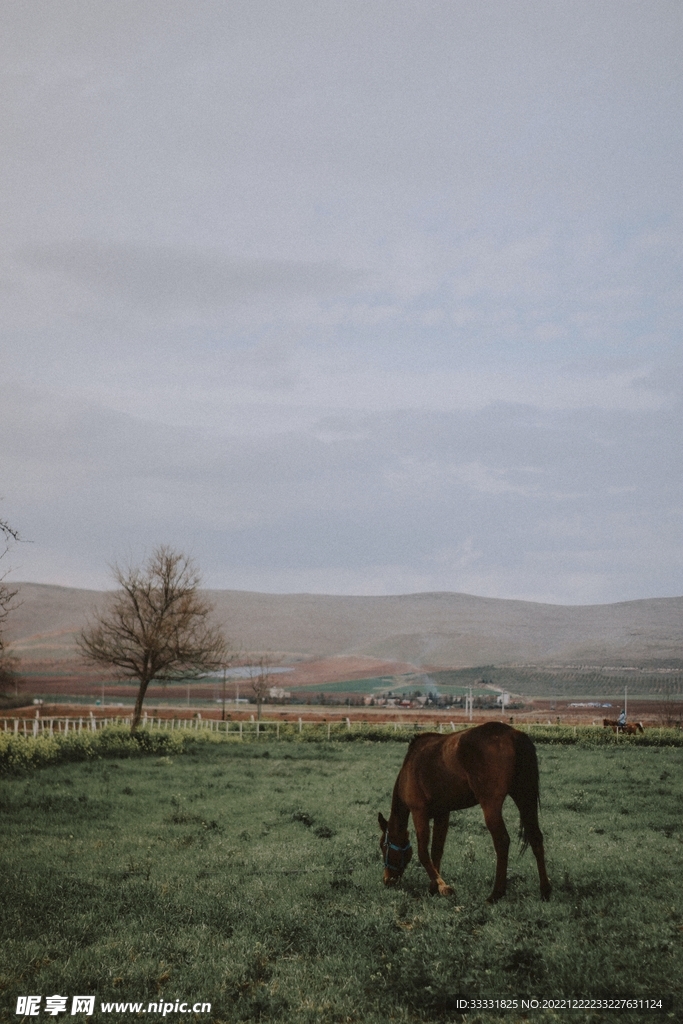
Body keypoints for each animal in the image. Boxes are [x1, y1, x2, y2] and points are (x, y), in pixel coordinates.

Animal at [378, 721, 551, 903]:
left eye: (383, 846)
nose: (387, 880)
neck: (410, 766)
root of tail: (512, 734)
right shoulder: (442, 814)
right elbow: (436, 851)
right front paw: (434, 887)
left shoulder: (419, 812)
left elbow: (423, 853)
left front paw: (443, 887)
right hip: (524, 799)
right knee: (536, 837)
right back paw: (545, 891)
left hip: (491, 805)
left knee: (502, 841)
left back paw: (496, 893)